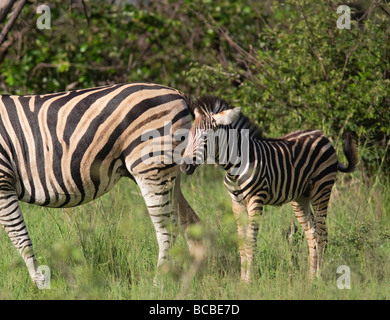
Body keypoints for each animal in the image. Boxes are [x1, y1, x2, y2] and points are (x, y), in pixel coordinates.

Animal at [0, 82, 204, 284]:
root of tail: (177, 93)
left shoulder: (3, 183)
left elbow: (20, 238)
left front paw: (40, 282)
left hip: (151, 168)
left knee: (168, 227)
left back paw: (159, 282)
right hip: (169, 173)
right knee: (190, 222)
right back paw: (197, 274)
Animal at [180, 96, 356, 282]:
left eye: (205, 137)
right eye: (189, 134)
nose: (184, 167)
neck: (236, 164)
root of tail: (321, 135)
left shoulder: (256, 200)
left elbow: (250, 242)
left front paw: (249, 281)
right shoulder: (236, 203)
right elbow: (241, 242)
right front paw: (242, 281)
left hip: (322, 189)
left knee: (322, 234)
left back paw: (319, 277)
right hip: (301, 197)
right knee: (312, 233)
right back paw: (310, 278)